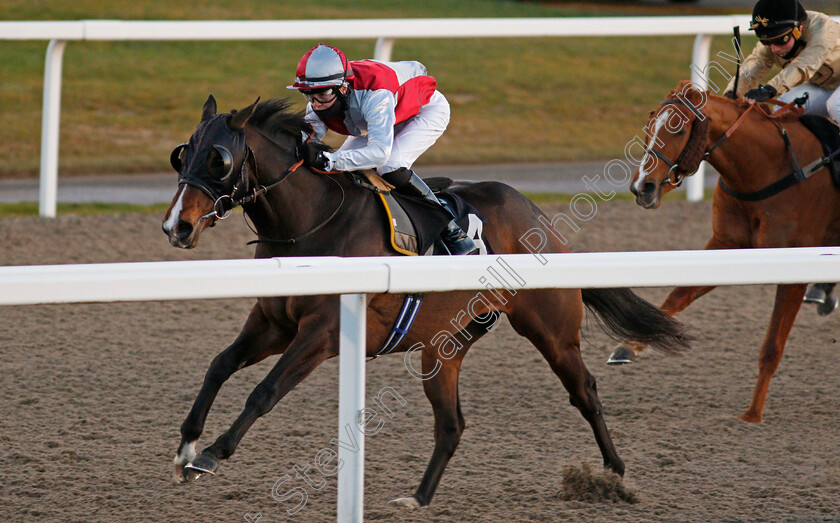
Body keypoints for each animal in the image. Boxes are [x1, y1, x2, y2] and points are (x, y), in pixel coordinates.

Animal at [162, 94, 688, 508]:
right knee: (452, 424)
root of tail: (541, 220)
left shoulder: (323, 333)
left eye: (218, 160)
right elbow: (220, 364)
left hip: (551, 331)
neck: (313, 222)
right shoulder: (272, 322)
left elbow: (264, 391)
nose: (176, 227)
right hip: (443, 347)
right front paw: (186, 446)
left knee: (586, 392)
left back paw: (615, 476)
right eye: (182, 155)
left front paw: (210, 455)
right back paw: (418, 497)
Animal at [612, 82, 840, 424]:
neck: (767, 169)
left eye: (679, 129)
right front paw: (630, 345)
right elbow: (678, 295)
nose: (642, 188)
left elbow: (772, 346)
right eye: (649, 125)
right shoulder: (727, 244)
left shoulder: (796, 265)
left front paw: (753, 414)